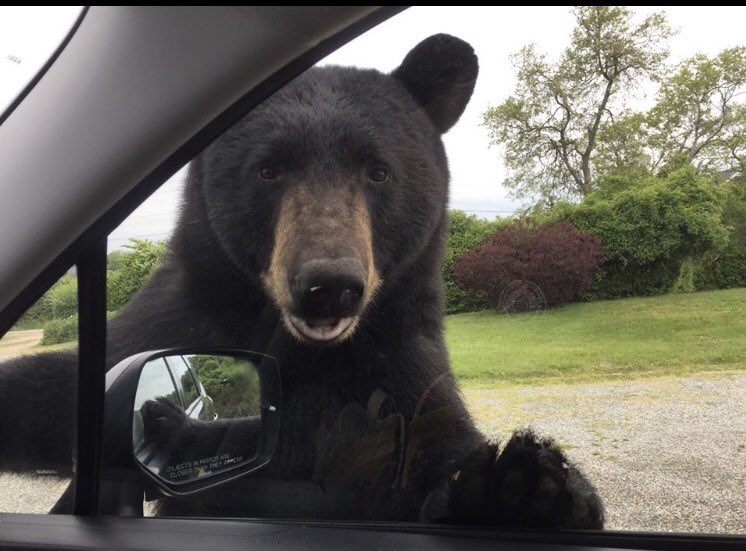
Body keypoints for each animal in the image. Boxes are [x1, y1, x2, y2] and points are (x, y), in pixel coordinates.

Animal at [0, 34, 600, 532]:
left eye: (378, 171)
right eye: (268, 169)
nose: (328, 283)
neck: (304, 351)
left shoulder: (401, 362)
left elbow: (435, 444)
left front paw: (523, 487)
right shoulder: (174, 321)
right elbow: (66, 390)